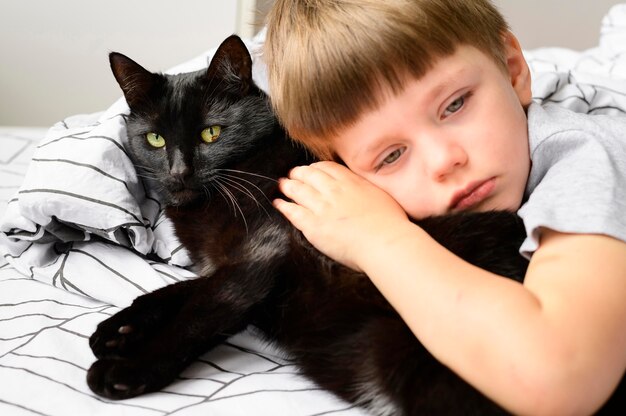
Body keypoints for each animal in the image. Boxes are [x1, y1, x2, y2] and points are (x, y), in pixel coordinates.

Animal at [85, 34, 532, 414]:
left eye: (211, 133)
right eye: (155, 139)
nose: (179, 171)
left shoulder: (262, 251)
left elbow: (201, 309)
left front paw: (128, 367)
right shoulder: (228, 261)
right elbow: (178, 290)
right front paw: (117, 328)